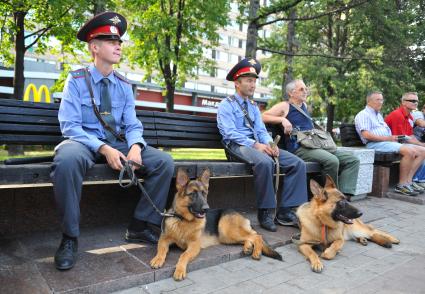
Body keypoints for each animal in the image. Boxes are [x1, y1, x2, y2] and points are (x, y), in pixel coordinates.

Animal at [149, 168, 282, 280]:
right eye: (193, 194)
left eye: (204, 193)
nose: (206, 209)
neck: (184, 220)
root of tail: (241, 215)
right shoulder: (164, 239)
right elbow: (161, 249)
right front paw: (158, 259)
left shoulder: (194, 245)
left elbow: (183, 255)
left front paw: (180, 270)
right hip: (227, 237)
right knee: (250, 237)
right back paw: (248, 247)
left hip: (226, 231)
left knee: (257, 236)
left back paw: (256, 252)